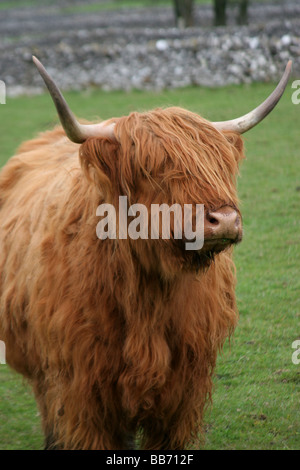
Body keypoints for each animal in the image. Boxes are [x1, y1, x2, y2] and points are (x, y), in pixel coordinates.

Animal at [0, 59, 292, 452]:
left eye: (218, 164)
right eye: (151, 170)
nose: (225, 220)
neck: (148, 296)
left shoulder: (184, 388)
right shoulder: (81, 389)